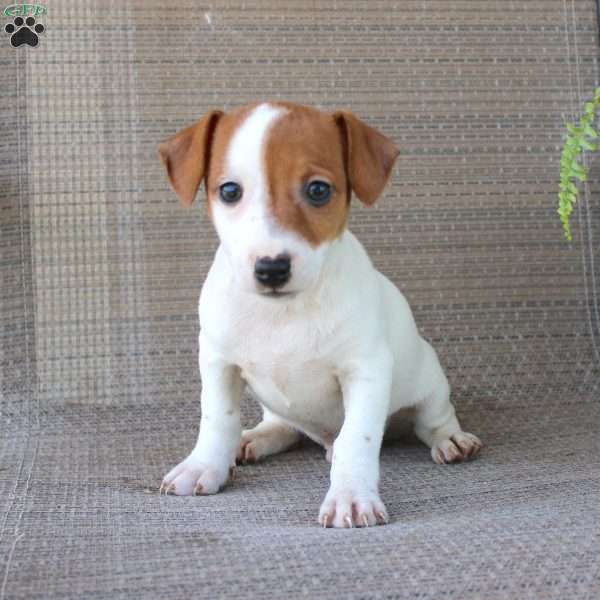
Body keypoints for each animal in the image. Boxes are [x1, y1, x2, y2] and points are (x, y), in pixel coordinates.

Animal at [156, 101, 482, 528]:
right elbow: (217, 419)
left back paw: (451, 440)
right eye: (229, 191)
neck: (283, 312)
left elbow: (356, 438)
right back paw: (254, 438)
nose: (272, 268)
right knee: (283, 427)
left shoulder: (365, 371)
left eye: (318, 190)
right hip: (277, 407)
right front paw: (204, 465)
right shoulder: (217, 361)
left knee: (432, 420)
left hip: (429, 384)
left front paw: (351, 496)